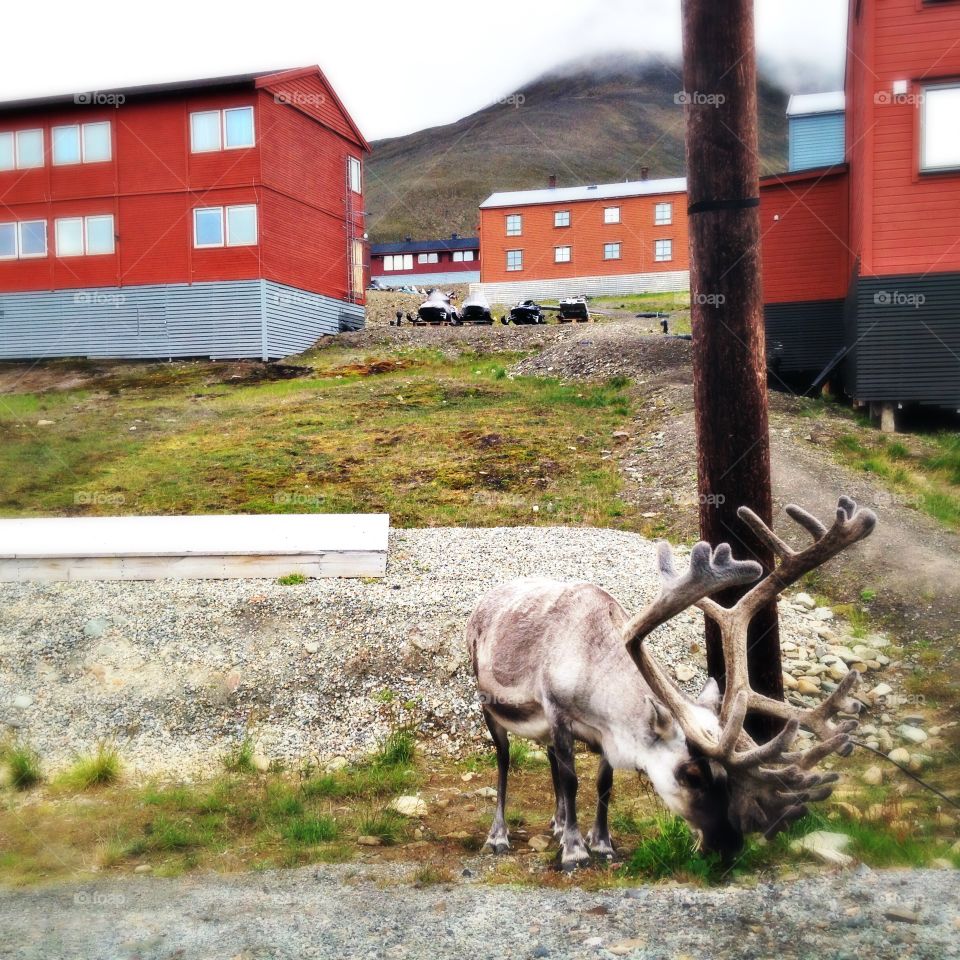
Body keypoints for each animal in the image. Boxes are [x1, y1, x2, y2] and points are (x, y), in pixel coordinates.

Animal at [467, 496, 876, 869]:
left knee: (550, 757)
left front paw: (602, 843)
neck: (593, 666)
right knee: (504, 760)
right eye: (691, 774)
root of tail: (485, 600)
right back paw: (499, 836)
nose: (727, 847)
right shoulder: (557, 712)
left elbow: (603, 783)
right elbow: (572, 782)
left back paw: (556, 822)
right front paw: (574, 851)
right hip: (490, 705)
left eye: (726, 779)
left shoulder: (606, 733)